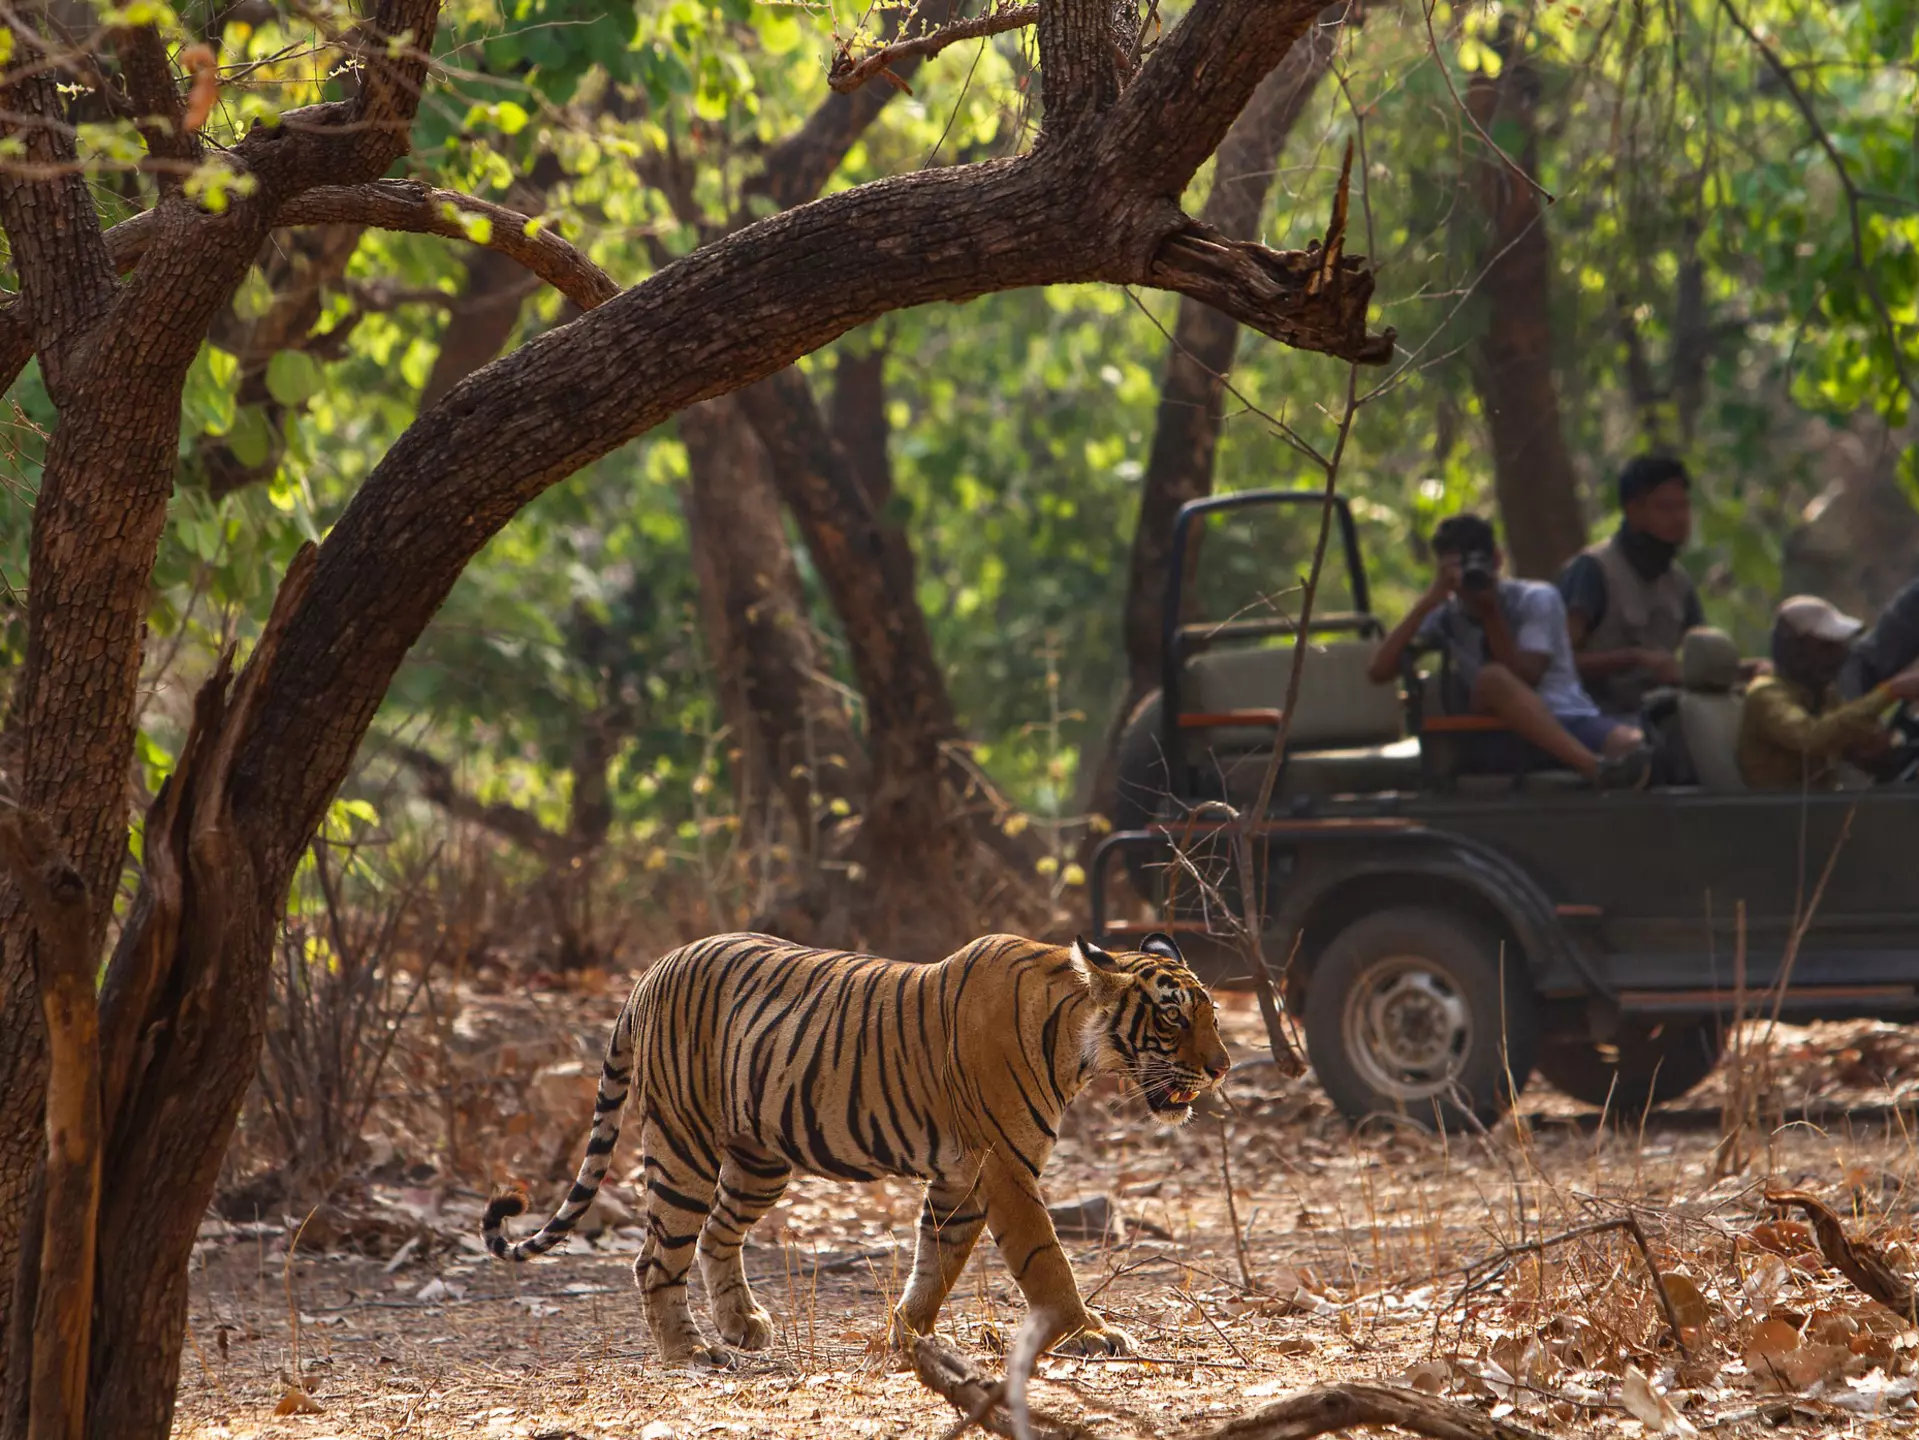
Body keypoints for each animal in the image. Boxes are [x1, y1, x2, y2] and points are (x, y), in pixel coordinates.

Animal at [482, 929, 1230, 1367]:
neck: (1076, 1040)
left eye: (1212, 1013)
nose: (1222, 1067)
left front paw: (909, 1336)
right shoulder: (1005, 1170)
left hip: (759, 1159)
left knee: (717, 1234)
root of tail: (650, 971)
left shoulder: (961, 1179)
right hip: (683, 1144)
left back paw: (742, 1325)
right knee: (654, 1256)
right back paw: (689, 1351)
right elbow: (1046, 1263)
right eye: (1172, 1015)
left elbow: (937, 1263)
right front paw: (1089, 1333)